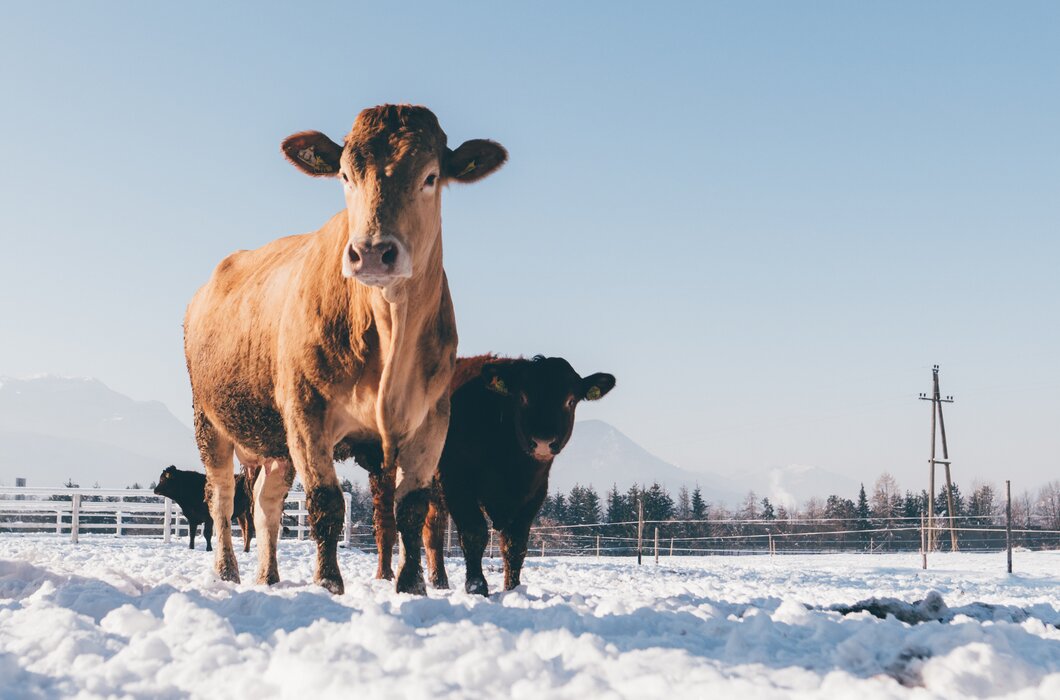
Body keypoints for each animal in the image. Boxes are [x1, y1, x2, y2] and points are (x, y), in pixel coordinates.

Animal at [183, 105, 507, 594]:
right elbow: (326, 503)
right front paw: (328, 582)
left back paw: (269, 576)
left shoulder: (431, 421)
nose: (371, 252)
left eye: (430, 176)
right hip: (210, 419)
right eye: (344, 175)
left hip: (277, 445)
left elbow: (410, 510)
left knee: (265, 504)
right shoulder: (305, 414)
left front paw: (411, 584)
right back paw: (227, 571)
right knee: (220, 497)